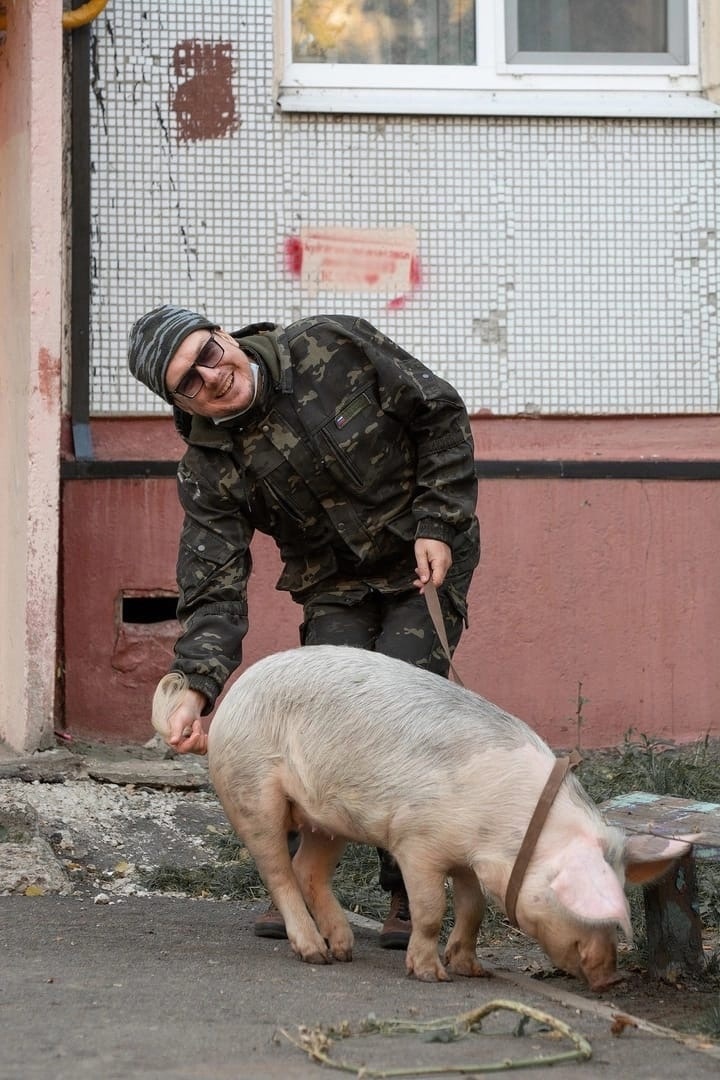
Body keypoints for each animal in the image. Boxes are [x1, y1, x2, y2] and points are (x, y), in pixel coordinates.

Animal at [151, 643, 690, 989]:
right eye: (585, 907)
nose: (611, 979)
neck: (511, 832)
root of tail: (226, 705)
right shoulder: (418, 843)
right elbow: (432, 908)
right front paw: (432, 975)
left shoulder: (469, 858)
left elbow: (473, 908)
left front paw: (473, 970)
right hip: (251, 790)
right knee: (279, 871)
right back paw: (316, 954)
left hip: (329, 819)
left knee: (309, 870)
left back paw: (344, 948)